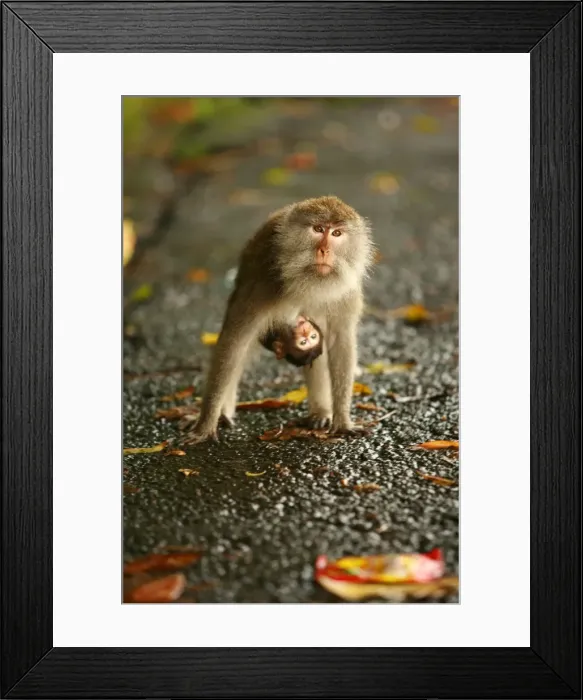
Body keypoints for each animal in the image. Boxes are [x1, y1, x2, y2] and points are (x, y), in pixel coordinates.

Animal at [183, 196, 374, 444]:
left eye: (337, 234)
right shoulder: (263, 286)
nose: (324, 250)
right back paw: (223, 414)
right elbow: (234, 344)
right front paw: (205, 425)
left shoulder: (347, 293)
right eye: (318, 229)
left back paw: (321, 412)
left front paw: (342, 421)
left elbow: (339, 343)